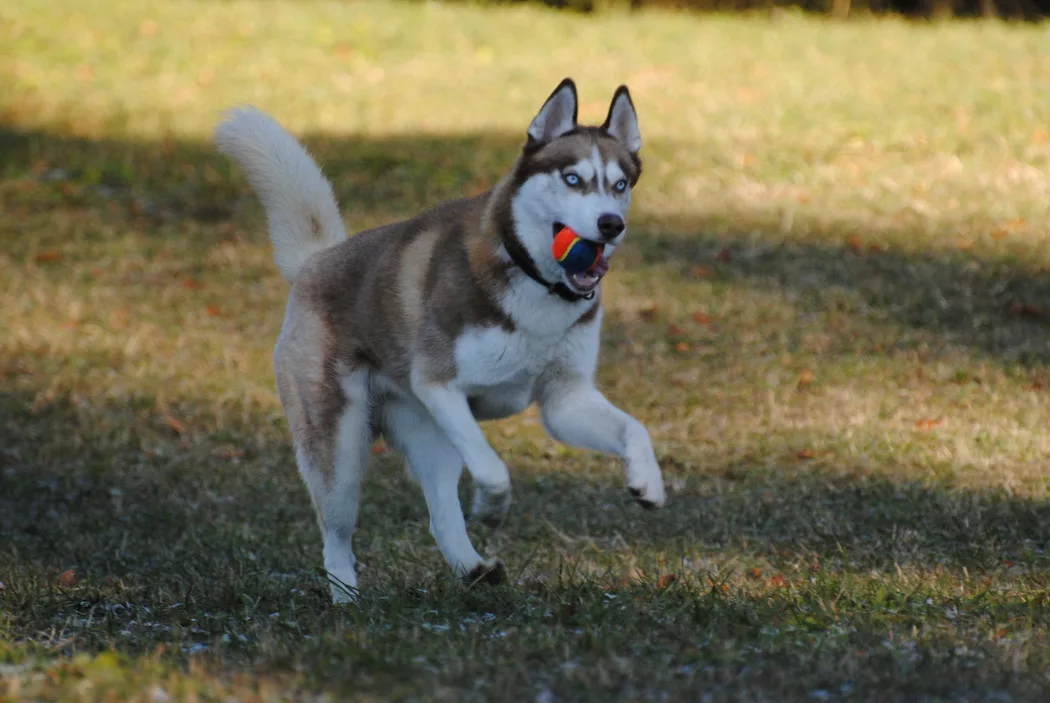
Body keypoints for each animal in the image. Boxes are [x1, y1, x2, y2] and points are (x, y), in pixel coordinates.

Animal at [215, 78, 663, 604]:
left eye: (620, 185)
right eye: (573, 179)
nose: (612, 223)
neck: (535, 284)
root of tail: (316, 260)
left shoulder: (564, 400)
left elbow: (636, 429)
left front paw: (647, 482)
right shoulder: (439, 385)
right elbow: (493, 468)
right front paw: (491, 507)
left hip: (432, 438)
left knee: (439, 517)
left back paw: (473, 570)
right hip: (341, 448)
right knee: (335, 533)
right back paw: (347, 600)